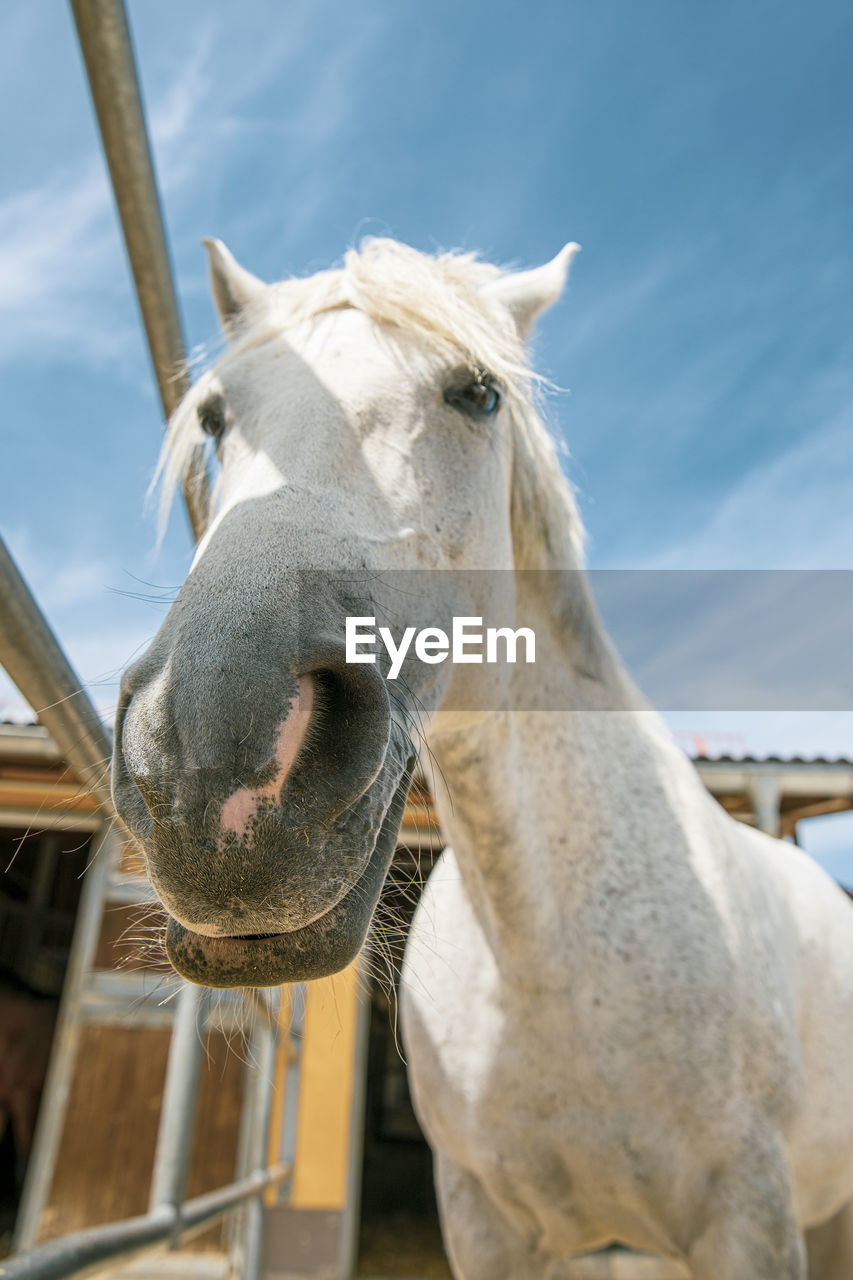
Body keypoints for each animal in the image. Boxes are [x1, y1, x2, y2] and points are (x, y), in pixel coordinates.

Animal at [111, 235, 850, 1274]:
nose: (207, 762)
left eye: (479, 394)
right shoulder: (481, 1216)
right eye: (215, 416)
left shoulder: (750, 1219)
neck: (546, 958)